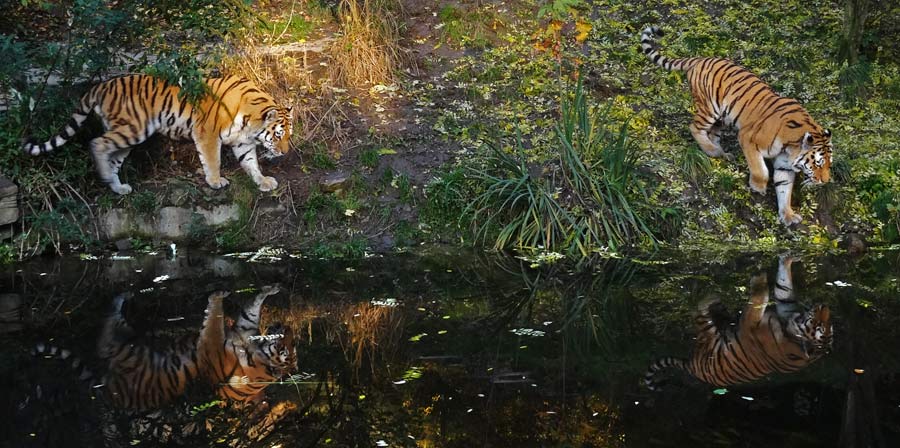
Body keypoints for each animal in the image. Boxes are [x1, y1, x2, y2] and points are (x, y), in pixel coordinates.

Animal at [22, 74, 292, 195]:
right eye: (279, 135)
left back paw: (117, 187)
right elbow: (212, 160)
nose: (286, 152)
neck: (250, 118)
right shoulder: (207, 133)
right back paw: (106, 177)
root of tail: (101, 85)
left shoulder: (242, 142)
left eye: (289, 135)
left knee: (112, 155)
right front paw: (216, 181)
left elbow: (251, 163)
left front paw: (263, 181)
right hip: (133, 129)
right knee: (97, 143)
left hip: (127, 135)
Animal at [636, 26, 832, 226]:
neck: (790, 146)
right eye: (818, 163)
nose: (826, 181)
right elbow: (760, 169)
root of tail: (701, 58)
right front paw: (758, 187)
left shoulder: (784, 165)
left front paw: (788, 215)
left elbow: (784, 189)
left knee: (712, 133)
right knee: (694, 127)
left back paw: (722, 153)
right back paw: (712, 151)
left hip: (722, 119)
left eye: (829, 163)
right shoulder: (748, 138)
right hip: (709, 108)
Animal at [644, 258, 832, 390]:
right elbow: (783, 287)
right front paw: (787, 257)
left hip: (709, 337)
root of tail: (692, 367)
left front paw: (759, 278)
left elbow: (757, 301)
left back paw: (713, 296)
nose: (825, 306)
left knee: (698, 310)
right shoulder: (785, 307)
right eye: (826, 325)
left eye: (819, 327)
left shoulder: (751, 325)